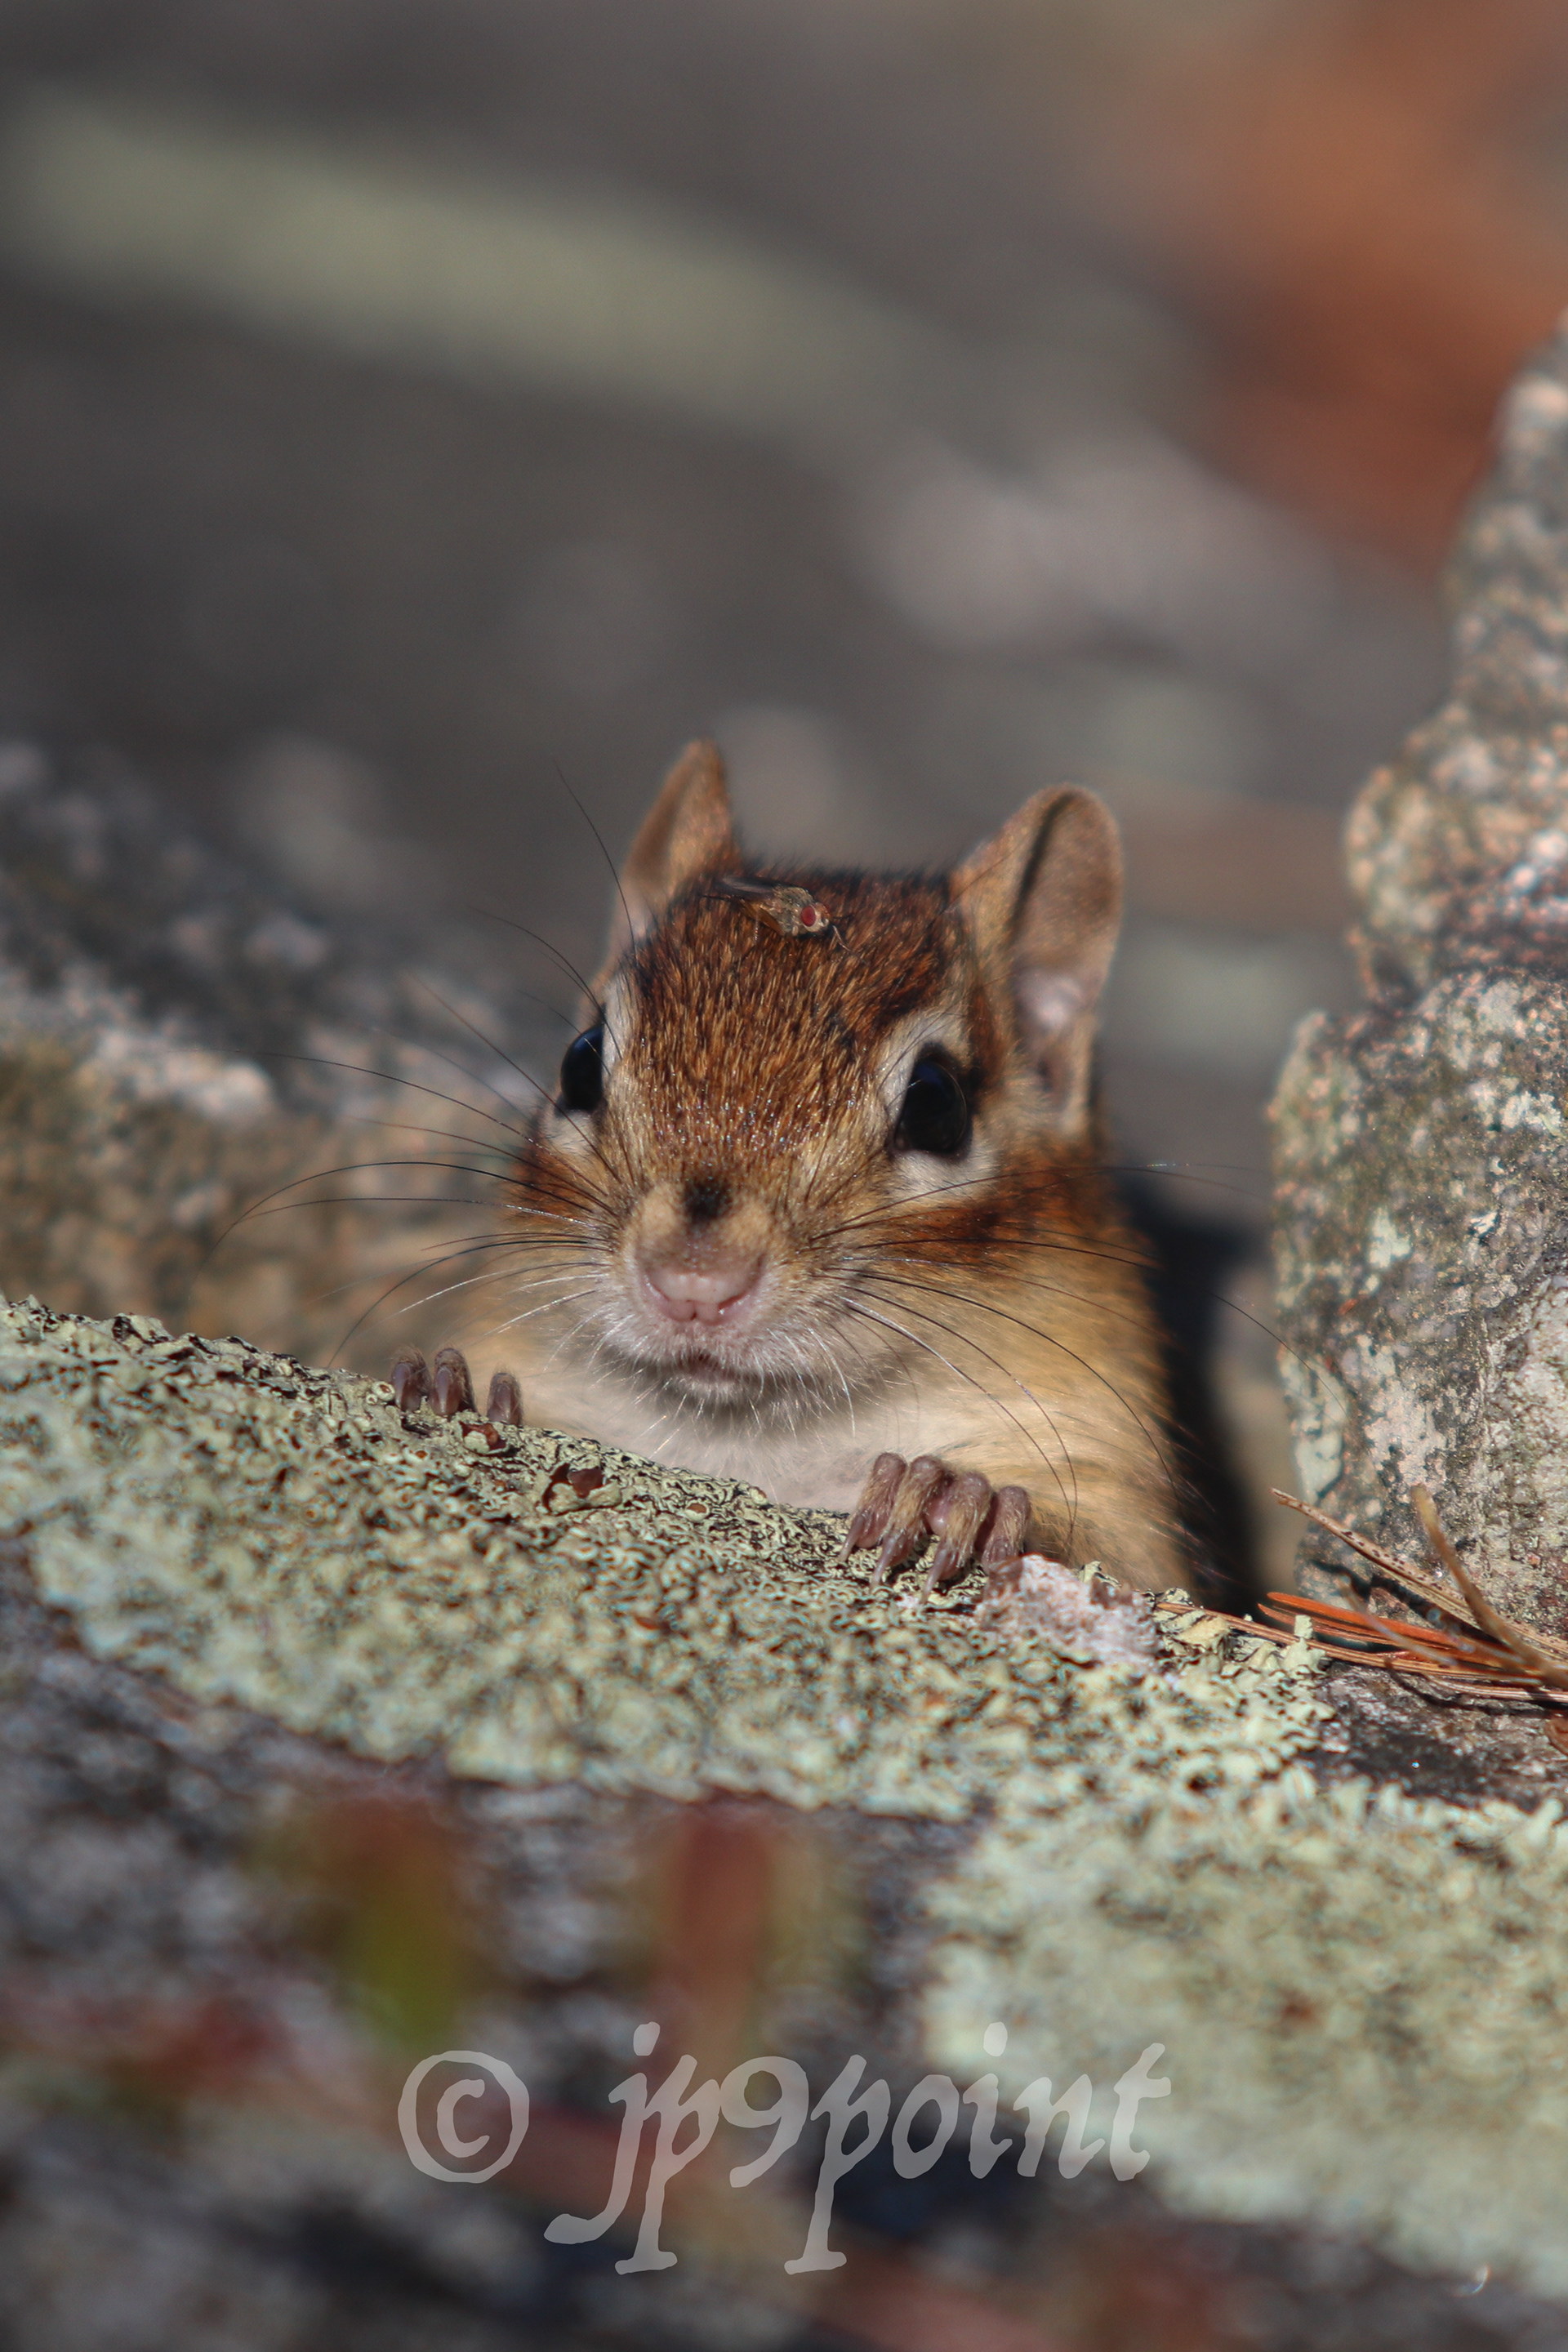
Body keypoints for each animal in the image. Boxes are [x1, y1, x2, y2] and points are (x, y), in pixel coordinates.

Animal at [392, 738, 1190, 1598]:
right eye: (579, 1063)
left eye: (937, 1105)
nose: (694, 1280)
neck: (742, 1446)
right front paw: (455, 1392)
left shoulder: (1107, 1471)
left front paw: (948, 1496)